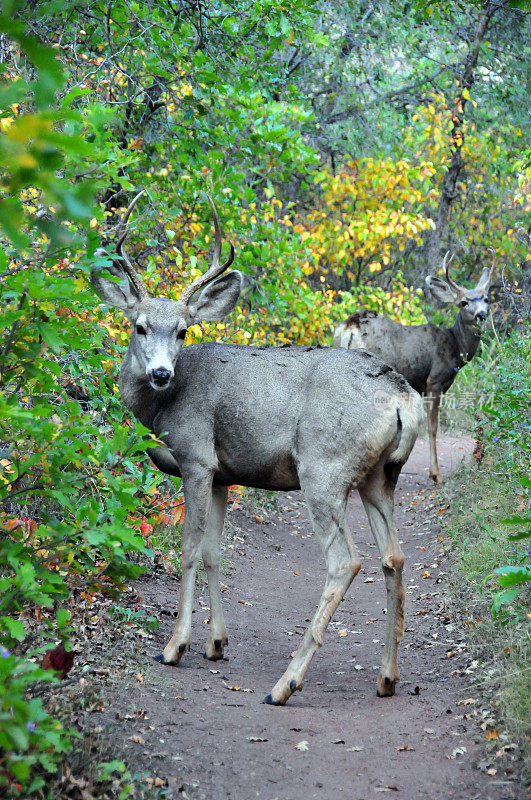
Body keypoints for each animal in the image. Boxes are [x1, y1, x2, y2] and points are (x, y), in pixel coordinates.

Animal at [91, 191, 424, 704]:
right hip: (380, 478)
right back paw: (387, 677)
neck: (161, 408)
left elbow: (188, 548)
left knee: (346, 561)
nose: (161, 373)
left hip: (324, 470)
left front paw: (174, 646)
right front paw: (215, 643)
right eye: (140, 326)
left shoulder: (196, 458)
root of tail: (404, 396)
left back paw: (285, 684)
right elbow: (213, 551)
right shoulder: (223, 474)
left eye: (183, 330)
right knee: (393, 557)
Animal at [332, 253, 494, 484]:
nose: (481, 314)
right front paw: (436, 474)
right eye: (463, 302)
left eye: (486, 299)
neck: (455, 347)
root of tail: (349, 328)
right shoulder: (434, 380)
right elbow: (432, 427)